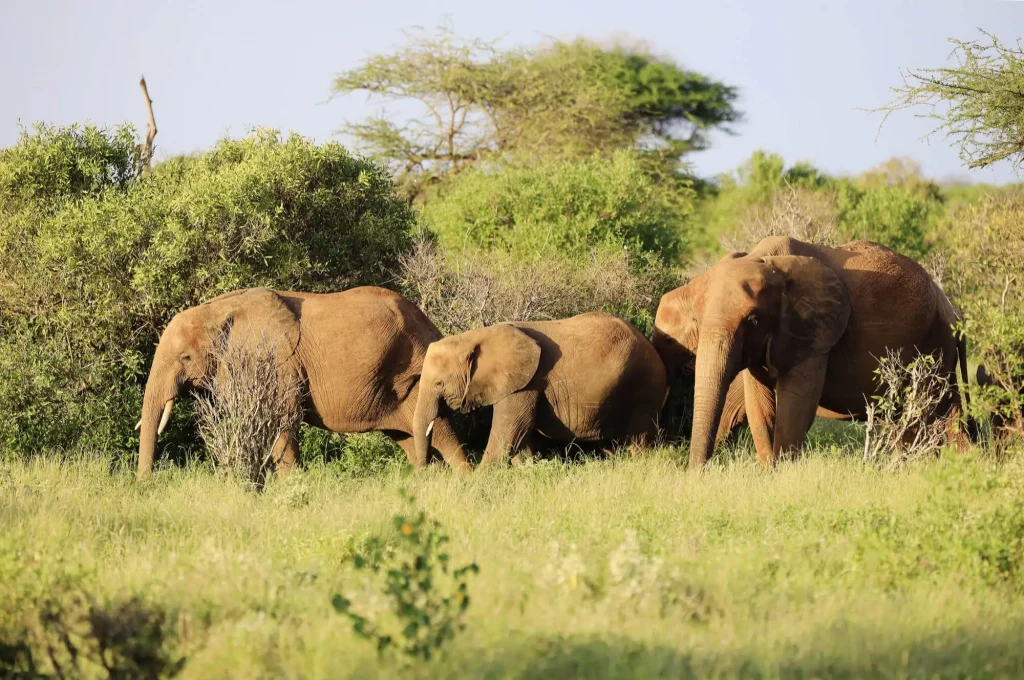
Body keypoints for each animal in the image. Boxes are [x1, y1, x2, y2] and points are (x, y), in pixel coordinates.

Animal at [137, 284, 471, 477]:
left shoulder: (279, 362)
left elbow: (281, 418)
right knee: (413, 438)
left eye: (185, 358)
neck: (217, 309)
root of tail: (430, 323)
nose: (145, 485)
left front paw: (292, 488)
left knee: (440, 432)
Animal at [411, 311, 667, 466]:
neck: (474, 337)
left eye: (439, 384)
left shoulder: (527, 382)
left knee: (639, 442)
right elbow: (522, 436)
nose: (426, 472)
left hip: (645, 386)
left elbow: (510, 432)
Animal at [651, 235, 970, 466]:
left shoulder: (813, 332)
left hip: (934, 345)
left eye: (753, 321)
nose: (697, 472)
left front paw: (781, 474)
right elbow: (759, 403)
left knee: (928, 414)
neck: (768, 261)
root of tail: (952, 308)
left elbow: (795, 403)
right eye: (696, 321)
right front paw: (769, 470)